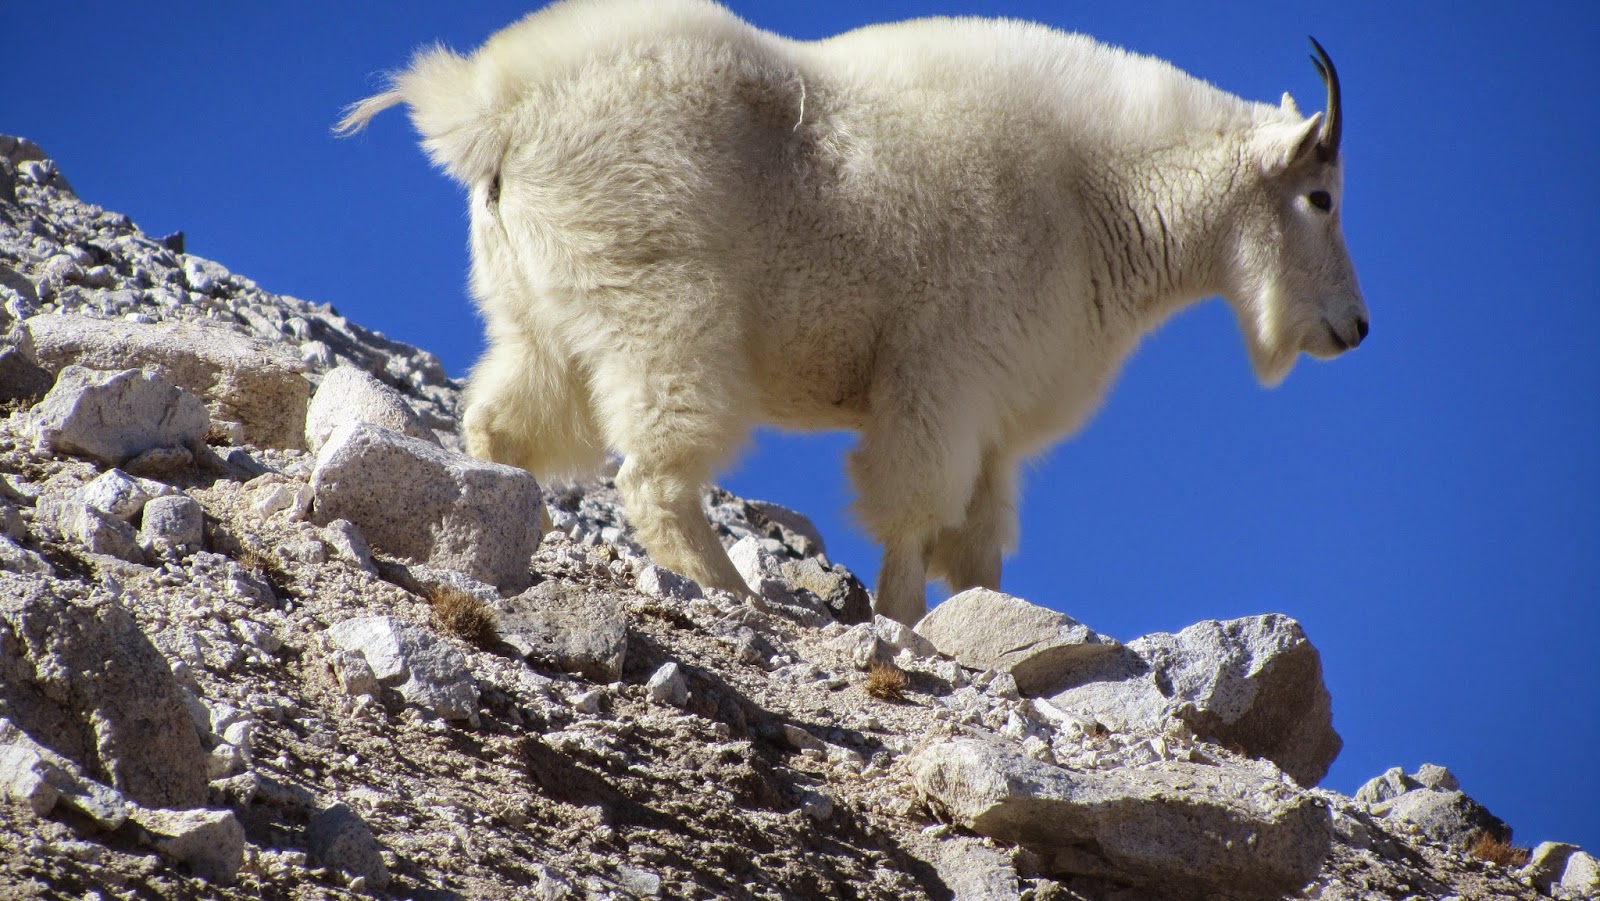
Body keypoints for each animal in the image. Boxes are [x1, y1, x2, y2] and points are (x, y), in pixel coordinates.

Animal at [338, 0, 1368, 625]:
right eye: (1321, 198)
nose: (1353, 327)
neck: (1097, 198)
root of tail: (492, 115)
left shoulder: (994, 425)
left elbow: (980, 549)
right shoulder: (940, 382)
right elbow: (912, 519)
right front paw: (902, 626)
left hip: (539, 318)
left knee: (499, 423)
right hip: (666, 317)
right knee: (656, 477)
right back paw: (738, 594)